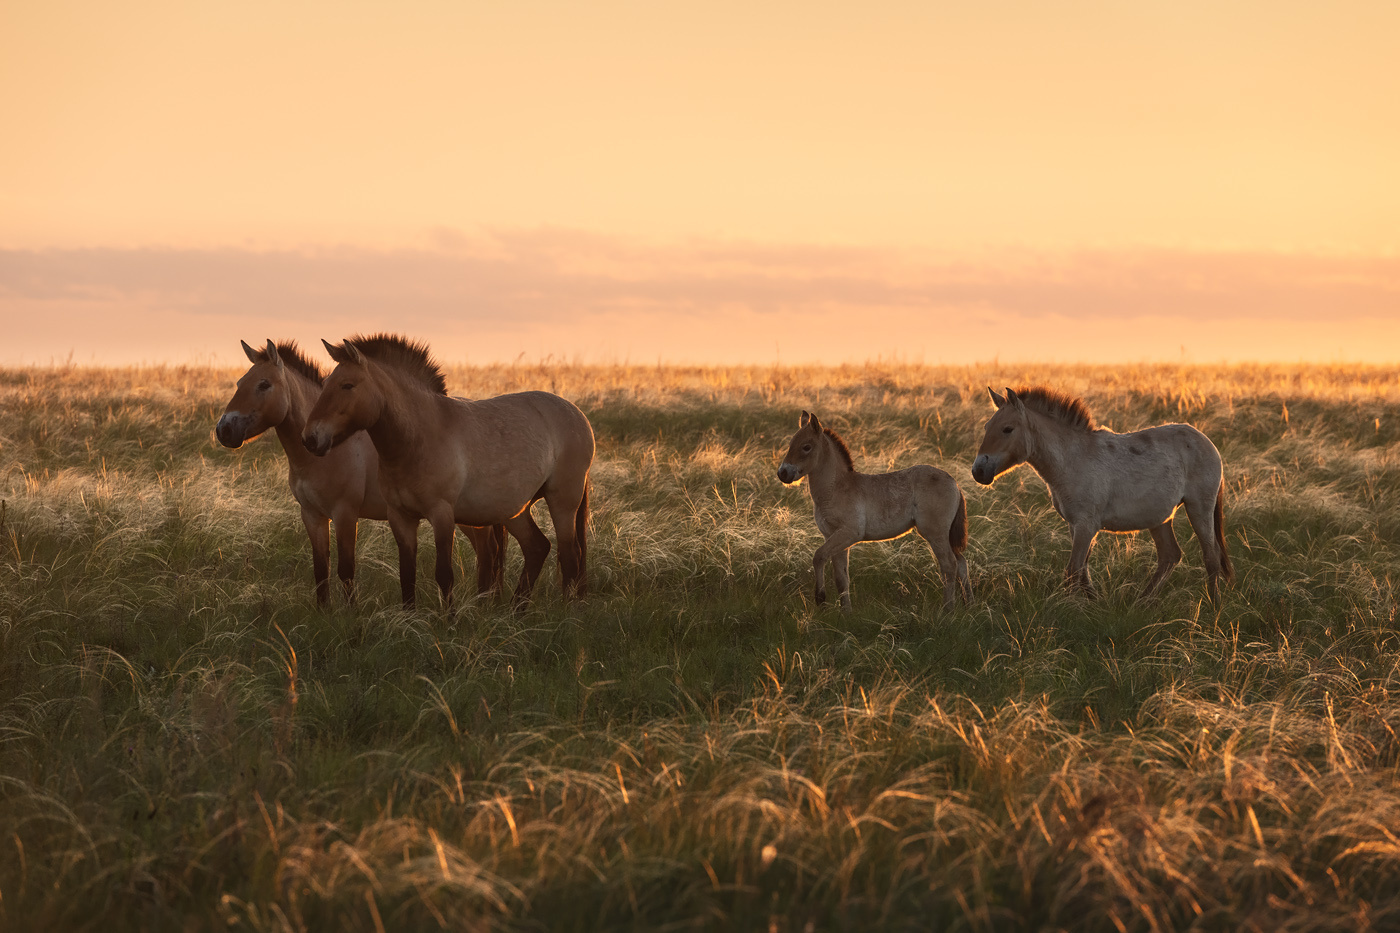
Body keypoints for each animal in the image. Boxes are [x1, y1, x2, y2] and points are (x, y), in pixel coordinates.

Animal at [215, 339, 506, 605]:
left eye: (264, 384)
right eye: (239, 383)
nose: (224, 430)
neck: (320, 457)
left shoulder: (345, 513)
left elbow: (346, 569)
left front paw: (350, 615)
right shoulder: (312, 515)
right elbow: (320, 570)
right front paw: (324, 614)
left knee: (487, 550)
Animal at [301, 334, 594, 610]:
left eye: (347, 385)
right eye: (325, 384)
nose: (310, 439)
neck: (419, 438)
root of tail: (578, 415)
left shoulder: (441, 514)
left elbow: (444, 574)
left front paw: (448, 621)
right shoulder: (401, 517)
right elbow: (407, 576)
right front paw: (410, 621)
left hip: (562, 502)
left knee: (570, 555)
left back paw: (565, 613)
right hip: (515, 510)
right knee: (537, 547)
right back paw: (516, 612)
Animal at [777, 411, 973, 611]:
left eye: (806, 447)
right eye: (791, 444)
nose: (782, 473)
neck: (836, 488)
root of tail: (954, 483)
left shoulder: (849, 533)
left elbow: (818, 557)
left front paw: (821, 599)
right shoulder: (833, 536)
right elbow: (841, 578)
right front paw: (846, 612)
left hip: (935, 533)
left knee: (949, 565)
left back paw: (948, 609)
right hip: (946, 535)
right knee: (961, 563)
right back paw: (969, 605)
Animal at [971, 386, 1233, 603]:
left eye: (1007, 429)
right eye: (985, 428)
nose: (978, 471)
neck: (1072, 459)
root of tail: (1206, 441)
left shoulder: (1086, 525)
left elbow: (1073, 571)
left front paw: (1068, 611)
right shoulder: (1075, 525)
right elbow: (1082, 572)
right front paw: (1096, 604)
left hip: (1199, 508)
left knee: (1210, 556)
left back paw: (1213, 607)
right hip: (1160, 518)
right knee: (1170, 555)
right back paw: (1142, 603)